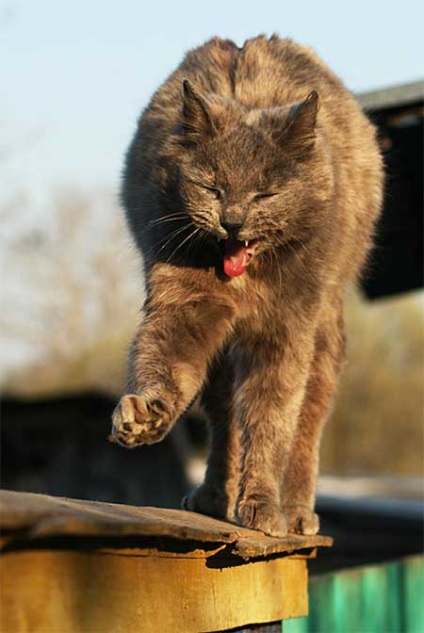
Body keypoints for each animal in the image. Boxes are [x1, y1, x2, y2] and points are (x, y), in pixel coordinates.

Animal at [110, 34, 384, 536]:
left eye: (266, 193)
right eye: (211, 186)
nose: (233, 221)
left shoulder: (286, 328)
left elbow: (272, 417)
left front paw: (262, 507)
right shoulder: (184, 301)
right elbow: (164, 356)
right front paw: (144, 415)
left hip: (325, 334)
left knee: (306, 421)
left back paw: (296, 512)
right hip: (224, 360)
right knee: (224, 420)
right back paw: (213, 497)